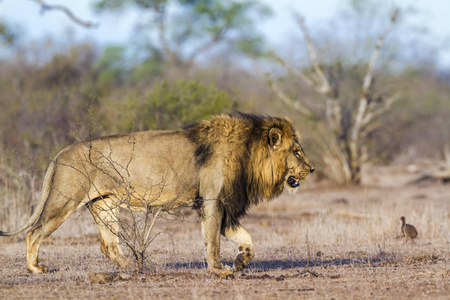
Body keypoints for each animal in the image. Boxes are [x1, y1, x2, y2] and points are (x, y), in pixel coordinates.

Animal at [0, 113, 314, 276]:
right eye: (297, 152)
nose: (311, 168)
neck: (250, 156)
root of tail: (61, 152)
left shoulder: (222, 206)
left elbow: (247, 240)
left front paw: (240, 261)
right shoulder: (212, 201)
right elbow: (212, 241)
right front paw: (219, 269)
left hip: (103, 204)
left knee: (109, 245)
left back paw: (135, 268)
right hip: (65, 199)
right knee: (34, 232)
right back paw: (35, 268)